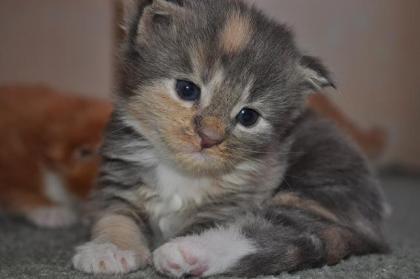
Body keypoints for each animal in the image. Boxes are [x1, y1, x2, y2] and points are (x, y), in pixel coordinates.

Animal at [71, 0, 388, 278]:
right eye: (187, 89)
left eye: (248, 117)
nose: (209, 138)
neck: (182, 173)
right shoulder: (118, 179)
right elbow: (114, 215)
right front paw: (109, 249)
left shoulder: (235, 202)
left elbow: (209, 224)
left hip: (318, 186)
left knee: (291, 233)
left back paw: (187, 253)